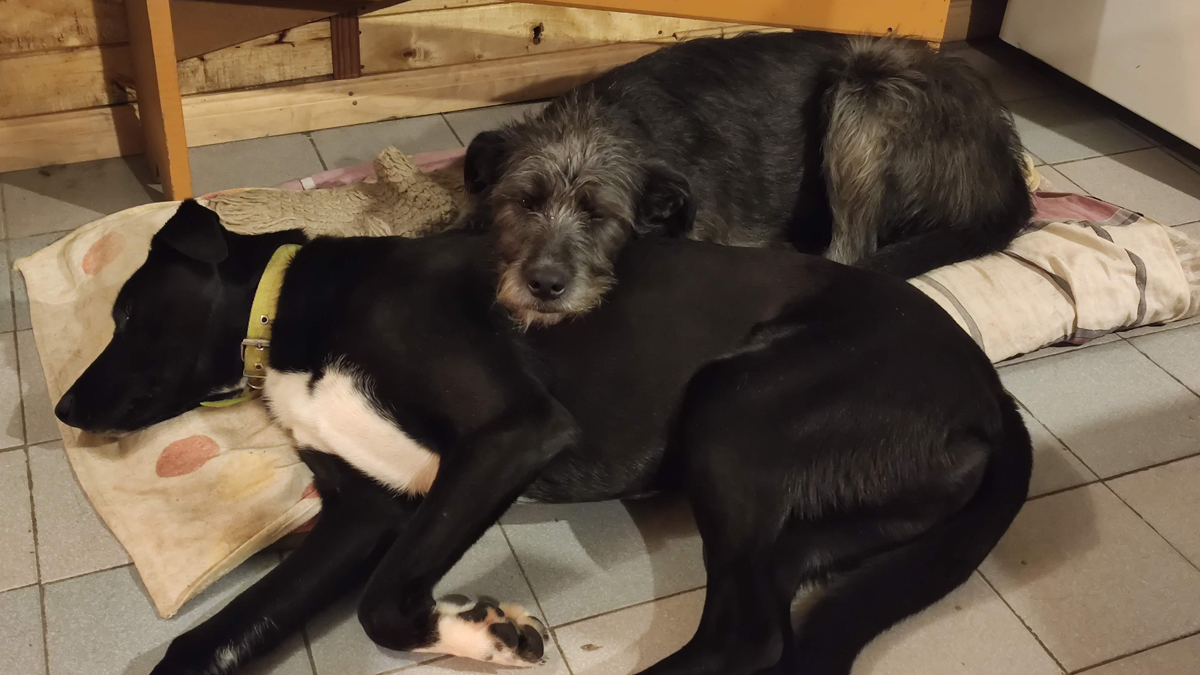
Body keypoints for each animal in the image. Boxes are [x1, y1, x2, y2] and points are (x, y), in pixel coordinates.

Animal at [56, 200, 1032, 675]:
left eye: (128, 314)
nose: (61, 408)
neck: (291, 308)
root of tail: (989, 386)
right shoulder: (363, 511)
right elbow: (206, 642)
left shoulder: (512, 432)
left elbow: (383, 603)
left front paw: (485, 633)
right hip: (809, 503)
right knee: (771, 615)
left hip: (736, 408)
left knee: (748, 636)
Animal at [463, 31, 1032, 326]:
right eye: (524, 202)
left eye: (599, 214)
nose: (544, 285)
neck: (609, 119)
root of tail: (1009, 174)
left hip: (866, 89)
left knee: (850, 251)